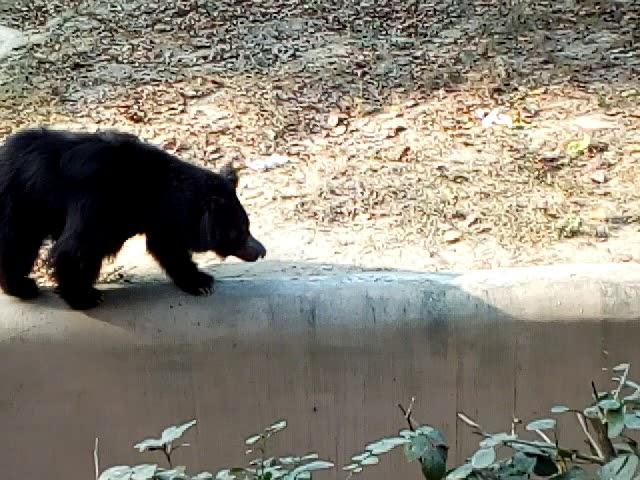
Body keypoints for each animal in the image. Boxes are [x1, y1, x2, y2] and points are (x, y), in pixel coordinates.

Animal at [0, 125, 264, 310]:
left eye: (248, 226)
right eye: (240, 230)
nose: (261, 251)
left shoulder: (161, 219)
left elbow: (169, 248)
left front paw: (200, 282)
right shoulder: (98, 203)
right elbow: (76, 248)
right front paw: (84, 297)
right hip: (19, 204)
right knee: (18, 245)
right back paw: (22, 286)